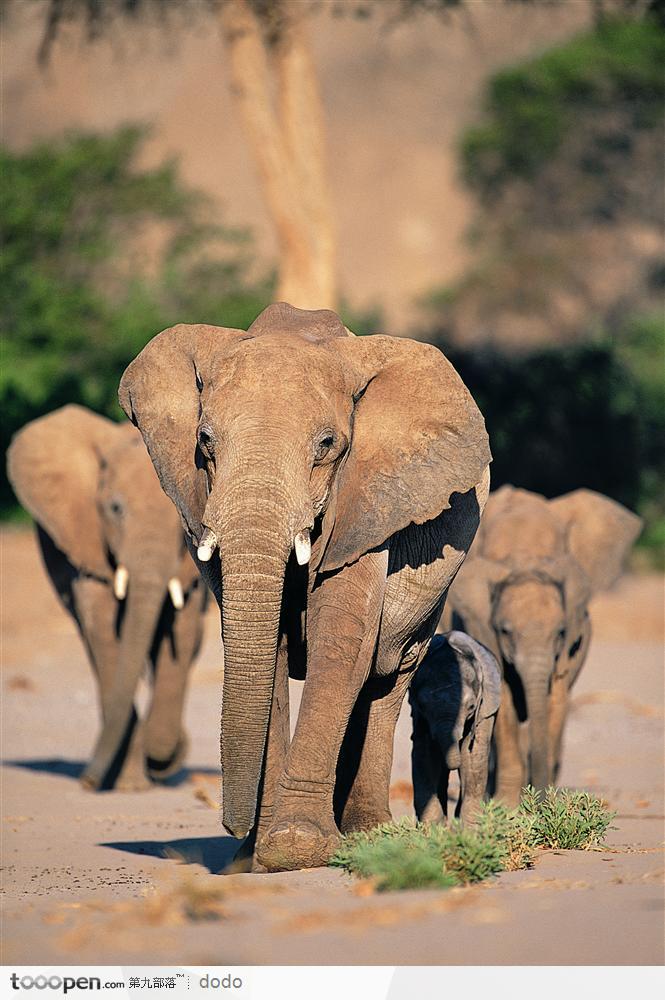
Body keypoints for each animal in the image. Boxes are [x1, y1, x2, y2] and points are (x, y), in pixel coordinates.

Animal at [6, 404, 206, 788]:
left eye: (180, 521)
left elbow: (182, 627)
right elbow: (103, 629)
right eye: (115, 509)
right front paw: (129, 783)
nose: (86, 780)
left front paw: (161, 760)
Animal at [410, 632, 498, 828]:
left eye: (471, 706)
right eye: (423, 706)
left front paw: (469, 830)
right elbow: (424, 755)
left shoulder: (484, 711)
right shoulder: (419, 717)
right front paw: (433, 829)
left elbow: (473, 756)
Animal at [444, 484, 640, 804]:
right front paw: (507, 806)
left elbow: (556, 694)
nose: (539, 798)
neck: (524, 555)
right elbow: (505, 695)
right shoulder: (480, 625)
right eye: (505, 631)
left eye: (560, 632)